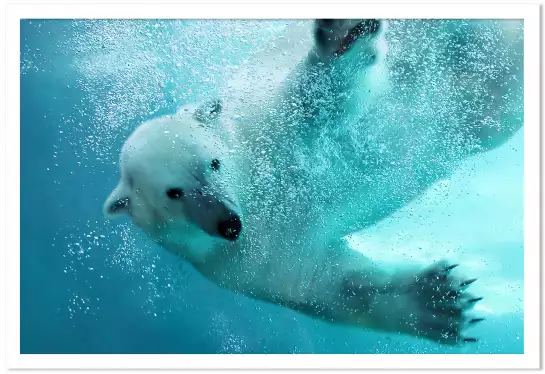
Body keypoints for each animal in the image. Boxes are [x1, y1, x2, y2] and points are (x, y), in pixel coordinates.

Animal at [103, 18, 524, 344]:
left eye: (214, 163)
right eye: (173, 193)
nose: (229, 223)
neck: (255, 189)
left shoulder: (269, 126)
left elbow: (321, 95)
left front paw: (342, 35)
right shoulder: (244, 263)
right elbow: (329, 284)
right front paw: (439, 302)